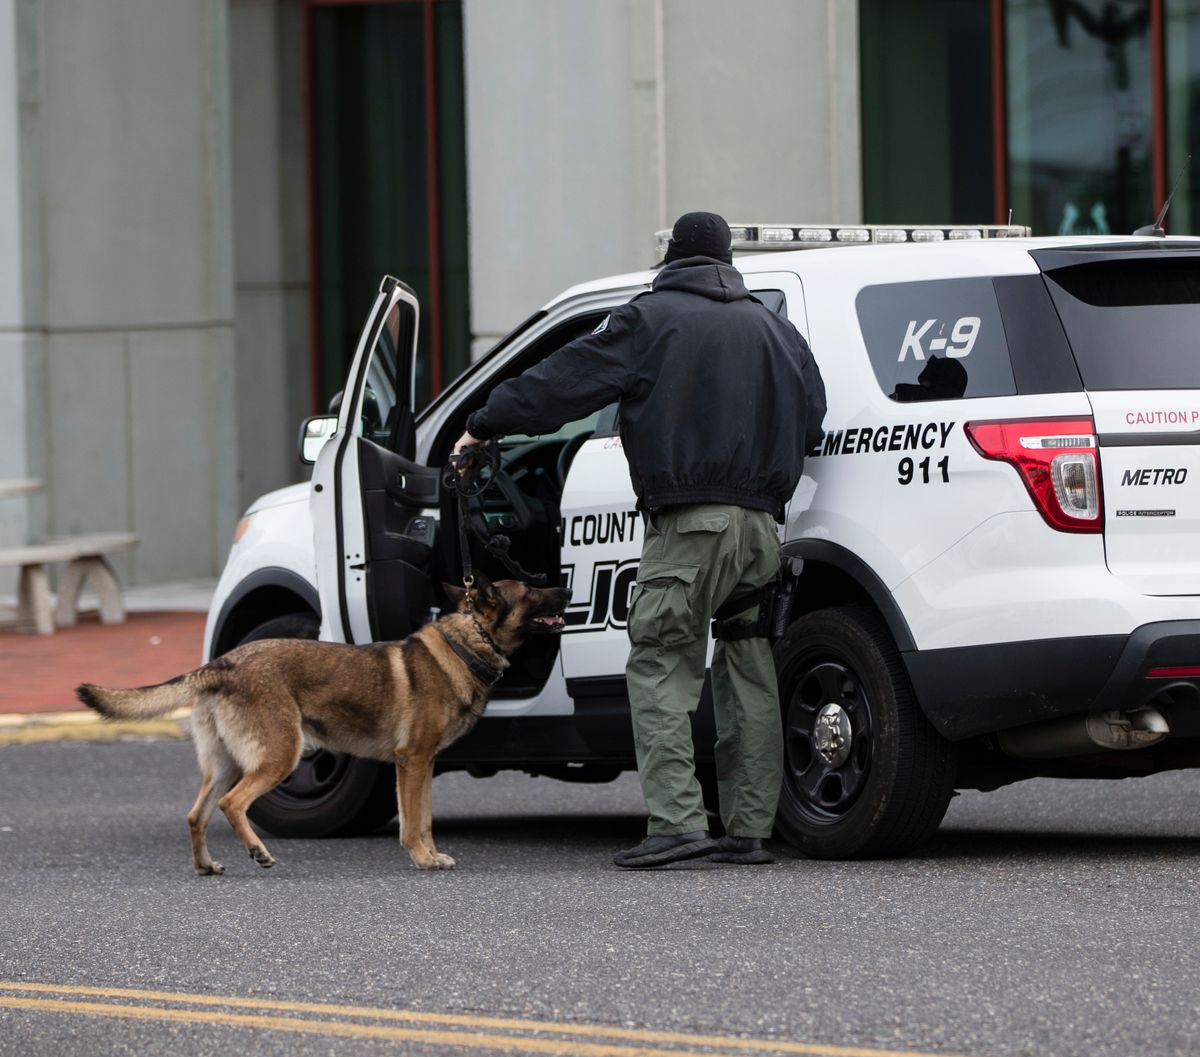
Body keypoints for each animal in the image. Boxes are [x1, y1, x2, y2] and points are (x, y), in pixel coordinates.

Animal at [77, 578, 568, 873]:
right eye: (531, 590)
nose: (564, 587)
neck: (466, 644)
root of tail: (224, 663)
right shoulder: (412, 762)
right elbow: (414, 823)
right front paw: (422, 859)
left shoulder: (421, 766)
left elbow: (424, 819)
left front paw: (430, 854)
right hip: (279, 757)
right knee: (232, 805)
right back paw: (257, 851)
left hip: (226, 765)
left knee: (196, 813)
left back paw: (206, 866)